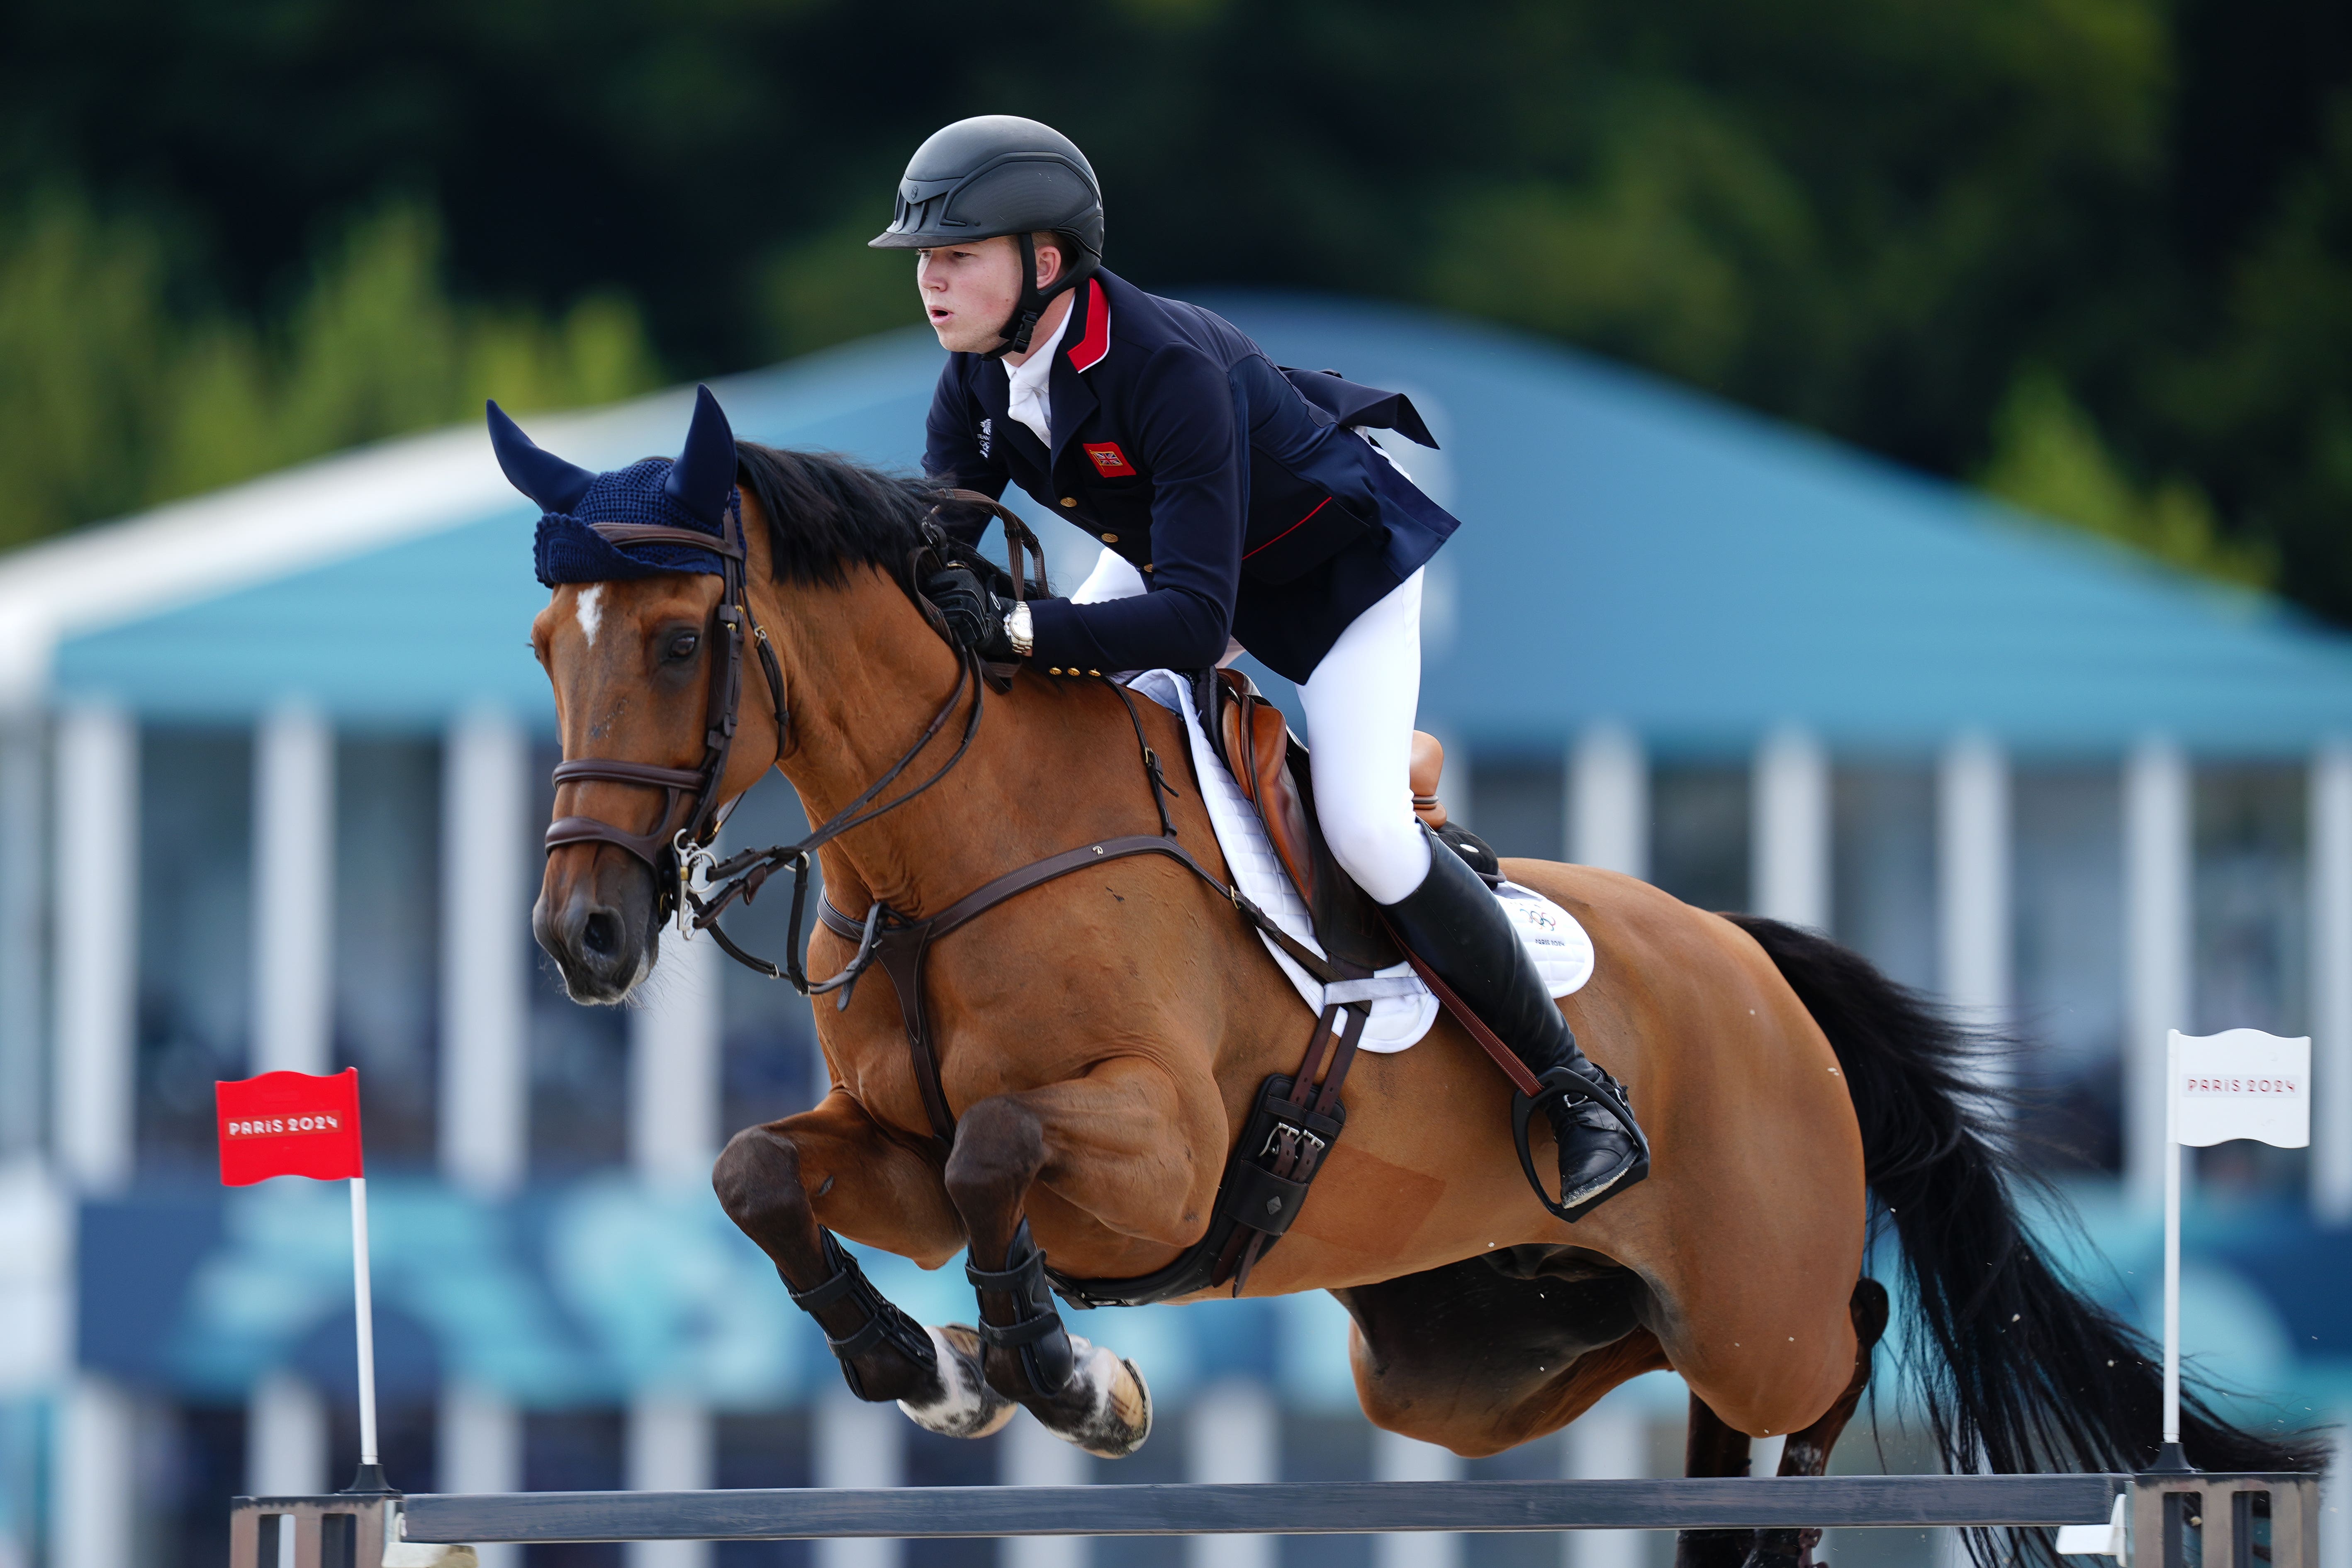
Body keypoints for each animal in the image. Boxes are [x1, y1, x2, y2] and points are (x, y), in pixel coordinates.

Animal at [524, 411, 2305, 1561]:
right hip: (1459, 1362)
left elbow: (995, 1156)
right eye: (551, 645)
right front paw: (933, 1371)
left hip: (1753, 1300)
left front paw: (1071, 1378)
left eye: (679, 640)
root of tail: (1756, 962)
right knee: (1650, 1370)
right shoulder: (884, 1150)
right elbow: (762, 1172)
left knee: (1843, 1342)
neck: (954, 844)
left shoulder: (1156, 1156)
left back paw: (1768, 1482)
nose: (579, 937)